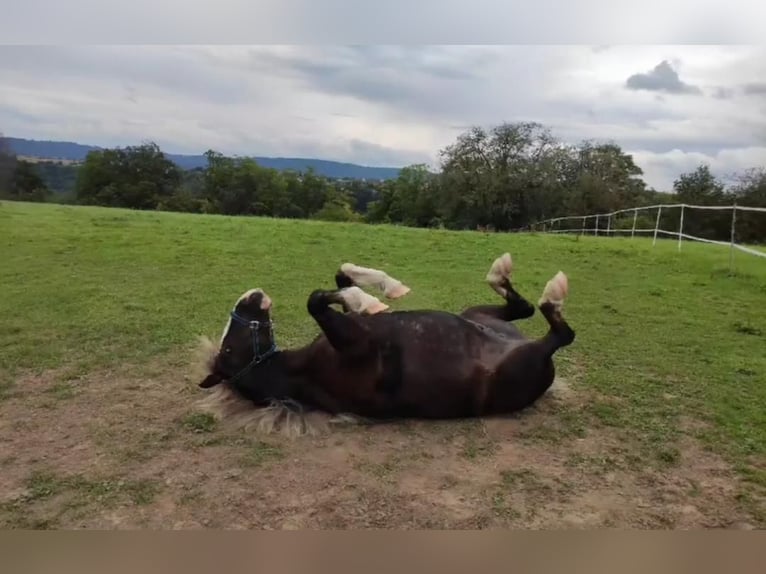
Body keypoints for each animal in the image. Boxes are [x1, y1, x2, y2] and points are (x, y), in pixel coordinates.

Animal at [197, 252, 575, 427]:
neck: (303, 371)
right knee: (559, 331)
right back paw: (552, 294)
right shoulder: (359, 344)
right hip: (523, 360)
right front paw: (370, 301)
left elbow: (342, 275)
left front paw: (387, 290)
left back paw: (500, 272)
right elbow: (316, 299)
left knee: (523, 307)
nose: (250, 295)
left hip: (479, 314)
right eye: (228, 349)